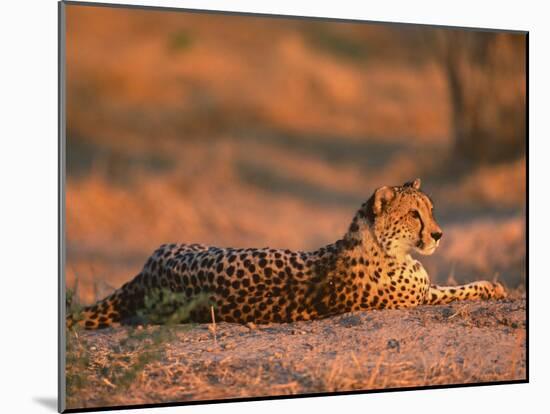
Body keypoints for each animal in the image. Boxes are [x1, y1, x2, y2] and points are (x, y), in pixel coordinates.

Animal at [69, 178, 508, 330]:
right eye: (414, 214)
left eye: (430, 209)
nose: (438, 234)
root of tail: (148, 270)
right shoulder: (419, 297)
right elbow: (459, 289)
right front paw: (494, 287)